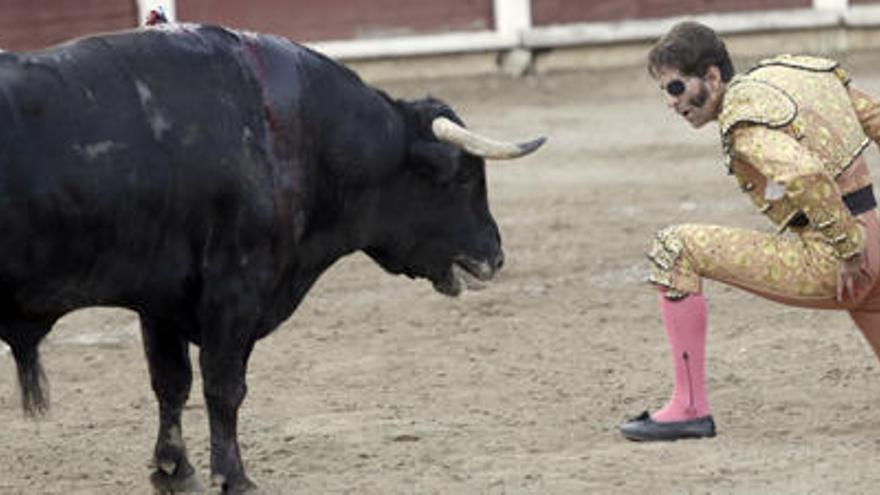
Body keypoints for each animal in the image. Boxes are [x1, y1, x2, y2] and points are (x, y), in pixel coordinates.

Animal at [0, 22, 544, 492]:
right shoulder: (238, 285)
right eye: (462, 178)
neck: (292, 132)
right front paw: (234, 478)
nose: (495, 256)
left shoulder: (159, 297)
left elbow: (171, 383)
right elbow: (224, 385)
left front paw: (173, 471)